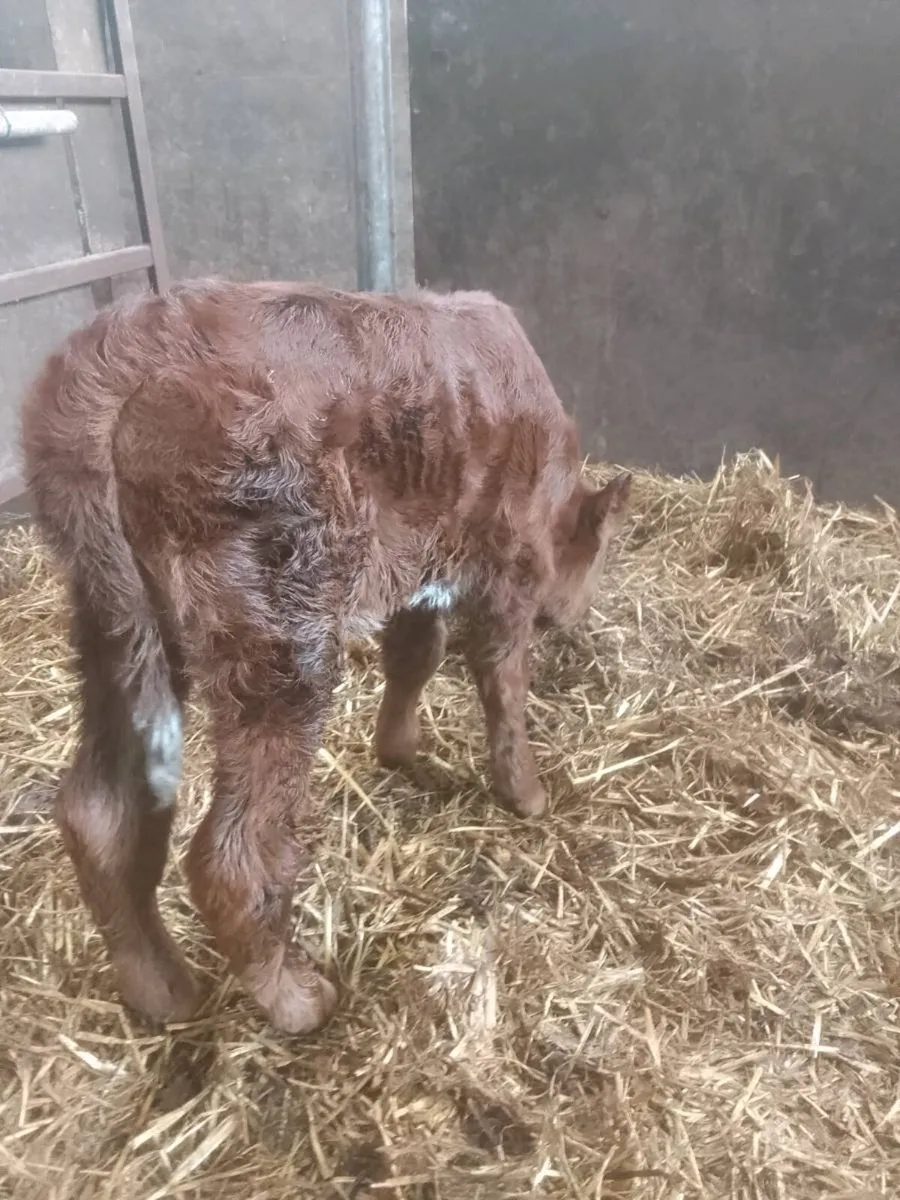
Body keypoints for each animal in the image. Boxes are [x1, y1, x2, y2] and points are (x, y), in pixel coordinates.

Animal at [20, 279, 631, 1035]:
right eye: (597, 554)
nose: (574, 615)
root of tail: (111, 362)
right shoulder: (504, 567)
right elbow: (500, 680)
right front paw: (527, 794)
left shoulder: (419, 570)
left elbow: (415, 654)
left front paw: (399, 748)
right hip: (280, 629)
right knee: (231, 858)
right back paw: (297, 1001)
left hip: (113, 624)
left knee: (98, 811)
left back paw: (161, 990)